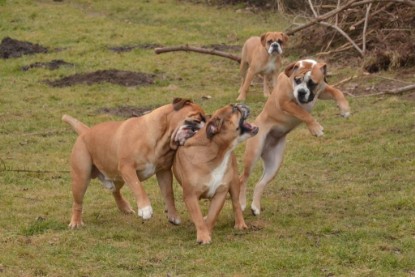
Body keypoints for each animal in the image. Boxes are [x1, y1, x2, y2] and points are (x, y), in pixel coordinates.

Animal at [171, 103, 256, 244]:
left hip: (234, 182)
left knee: (236, 203)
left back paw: (240, 224)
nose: (240, 104)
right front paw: (203, 236)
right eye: (234, 109)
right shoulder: (190, 195)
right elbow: (198, 217)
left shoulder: (220, 193)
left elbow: (212, 216)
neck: (217, 153)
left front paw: (207, 232)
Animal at [240, 59, 352, 215]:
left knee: (260, 183)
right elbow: (303, 113)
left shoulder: (321, 90)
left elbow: (336, 91)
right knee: (243, 178)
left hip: (274, 164)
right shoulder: (285, 102)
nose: (301, 91)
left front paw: (345, 108)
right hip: (253, 153)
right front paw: (315, 128)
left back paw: (255, 207)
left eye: (312, 83)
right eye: (297, 80)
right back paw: (242, 203)